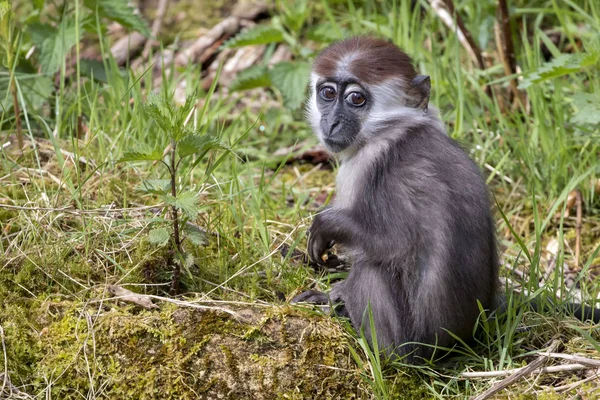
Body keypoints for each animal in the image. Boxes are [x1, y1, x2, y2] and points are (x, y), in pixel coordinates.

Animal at [292, 36, 600, 362]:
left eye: (356, 99)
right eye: (327, 93)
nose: (331, 123)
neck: (392, 128)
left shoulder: (366, 164)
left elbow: (397, 242)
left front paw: (327, 231)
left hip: (408, 342)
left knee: (372, 268)